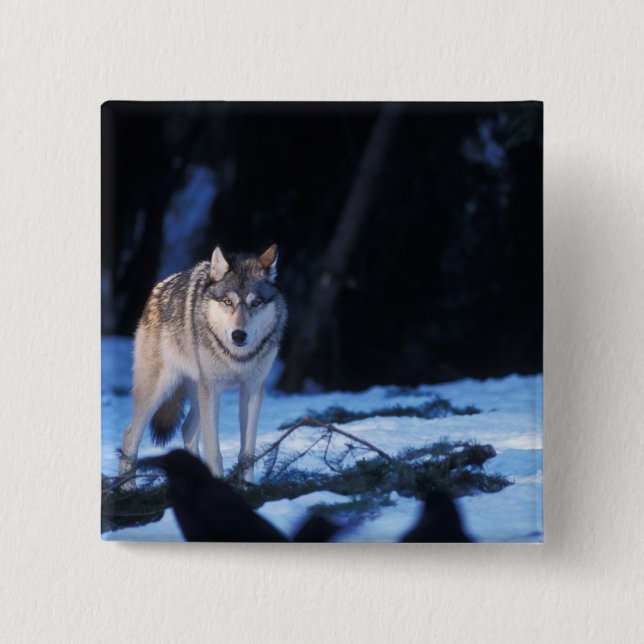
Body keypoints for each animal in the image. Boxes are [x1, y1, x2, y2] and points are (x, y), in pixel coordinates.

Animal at [118, 244, 286, 485]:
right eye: (228, 302)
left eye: (256, 303)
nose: (238, 335)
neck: (237, 357)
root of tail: (158, 288)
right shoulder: (213, 389)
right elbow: (214, 451)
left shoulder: (252, 390)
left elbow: (247, 453)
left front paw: (248, 487)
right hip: (160, 391)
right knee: (130, 435)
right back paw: (127, 489)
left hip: (198, 393)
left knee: (187, 429)